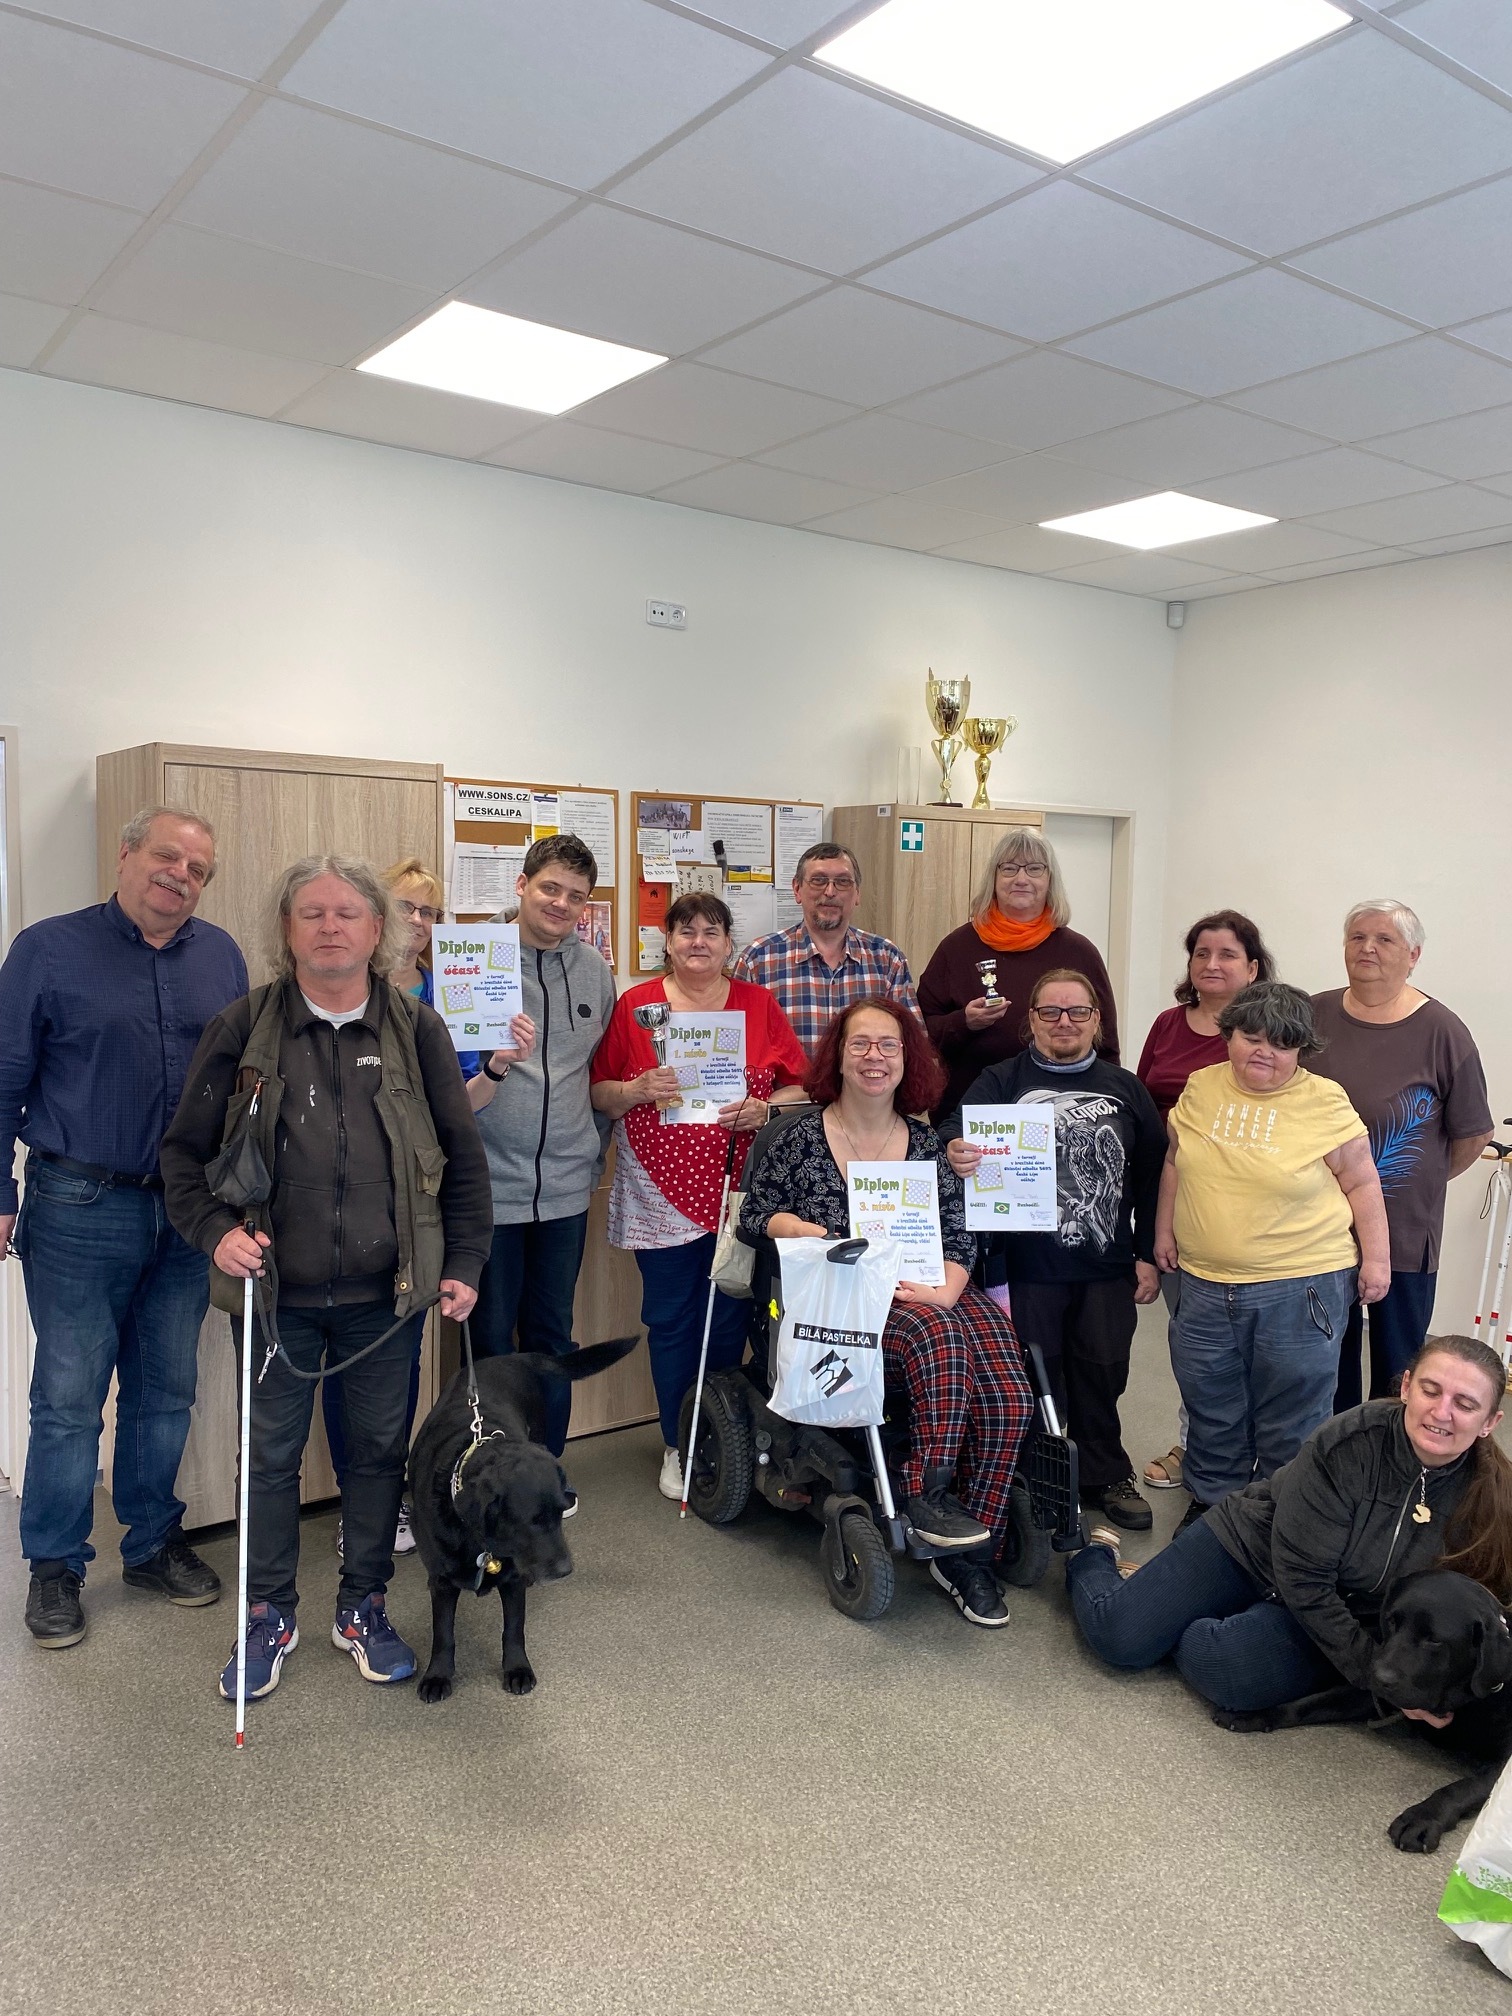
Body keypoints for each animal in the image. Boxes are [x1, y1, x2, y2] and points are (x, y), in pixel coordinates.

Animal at [407, 1337, 637, 1704]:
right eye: (532, 1521)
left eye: (560, 1512)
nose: (565, 1570)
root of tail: (513, 1356)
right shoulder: (441, 1581)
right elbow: (443, 1633)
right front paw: (438, 1675)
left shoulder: (514, 1579)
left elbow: (513, 1629)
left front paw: (517, 1669)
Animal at [1212, 1570, 1512, 1852]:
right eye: (1391, 1621)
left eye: (1434, 1640)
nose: (1378, 1676)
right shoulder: (1372, 1698)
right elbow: (1306, 1704)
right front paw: (1254, 1714)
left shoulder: (1504, 1768)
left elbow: (1462, 1787)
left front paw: (1422, 1817)